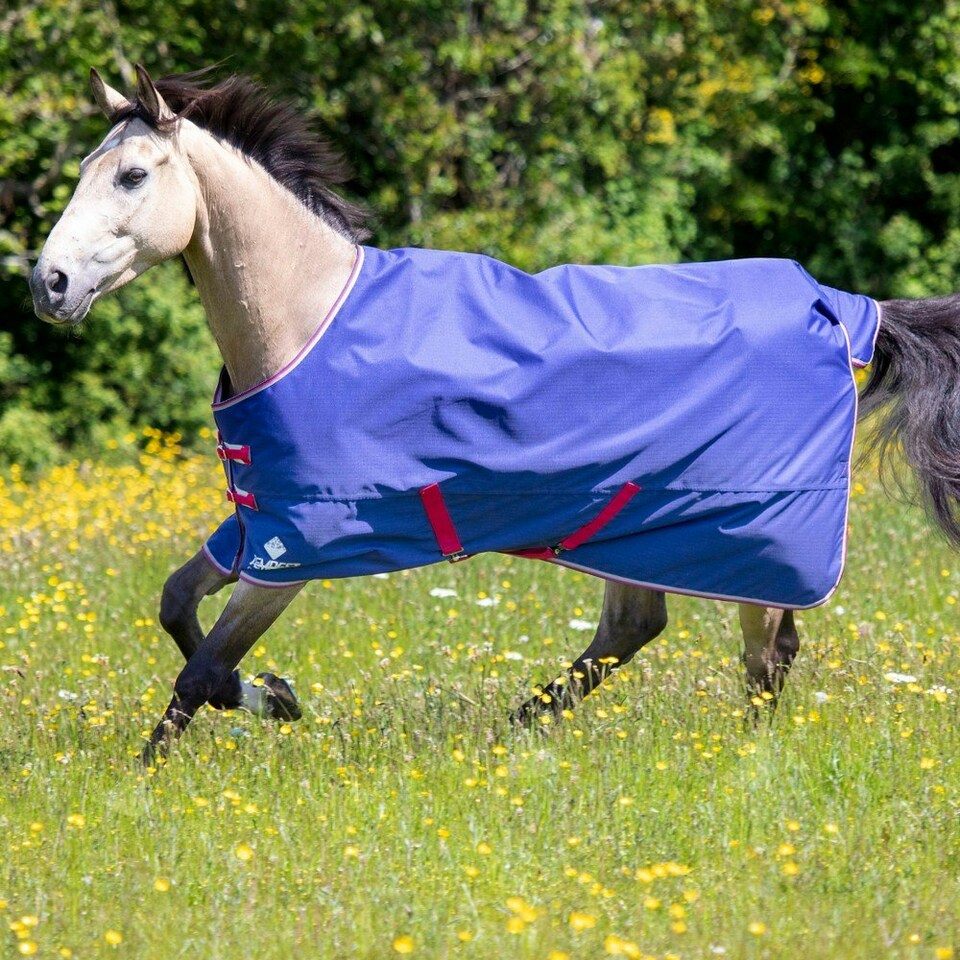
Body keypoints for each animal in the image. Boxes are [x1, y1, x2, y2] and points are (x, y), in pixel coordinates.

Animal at [29, 66, 960, 766]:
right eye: (80, 172)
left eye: (132, 175)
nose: (49, 285)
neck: (305, 319)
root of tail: (837, 305)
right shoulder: (256, 522)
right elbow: (177, 609)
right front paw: (278, 697)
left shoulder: (298, 547)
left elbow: (200, 670)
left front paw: (158, 768)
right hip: (637, 525)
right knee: (641, 628)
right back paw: (518, 726)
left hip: (741, 531)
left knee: (761, 655)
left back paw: (734, 754)